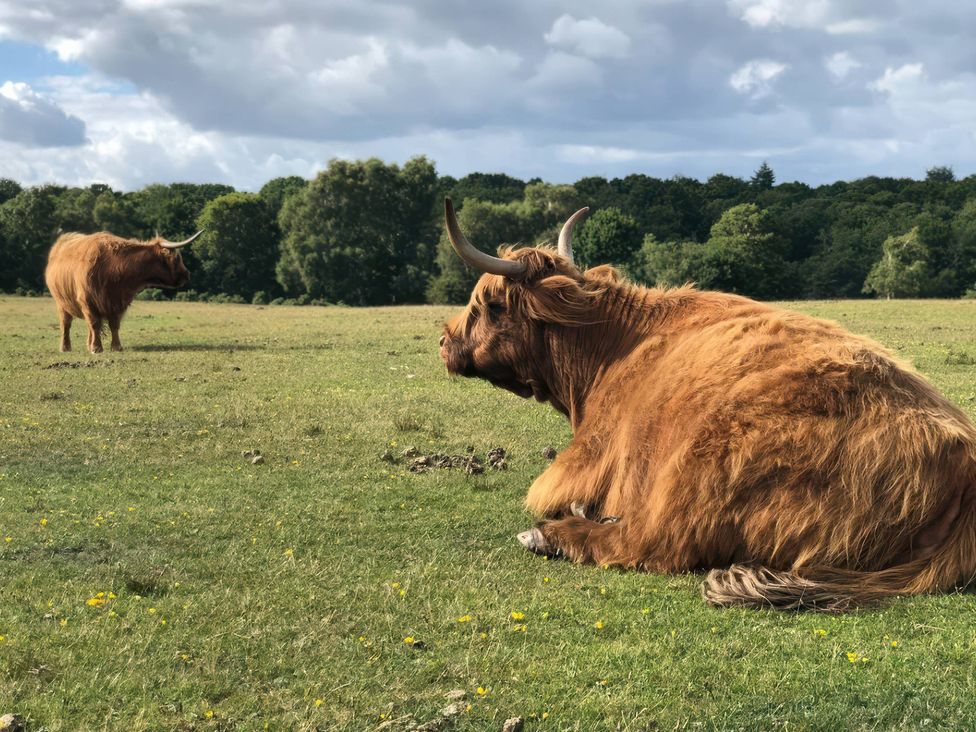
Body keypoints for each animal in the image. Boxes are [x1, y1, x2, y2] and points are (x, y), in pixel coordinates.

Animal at [44, 230, 202, 353]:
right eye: (177, 258)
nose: (187, 274)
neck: (114, 268)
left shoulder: (118, 302)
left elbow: (114, 325)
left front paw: (116, 347)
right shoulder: (88, 300)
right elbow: (94, 324)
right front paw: (97, 348)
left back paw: (88, 345)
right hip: (62, 304)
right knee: (66, 324)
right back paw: (65, 348)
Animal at [439, 198, 976, 611]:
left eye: (490, 305)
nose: (444, 341)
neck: (611, 347)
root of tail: (962, 458)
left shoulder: (588, 455)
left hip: (700, 469)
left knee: (648, 542)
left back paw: (551, 534)